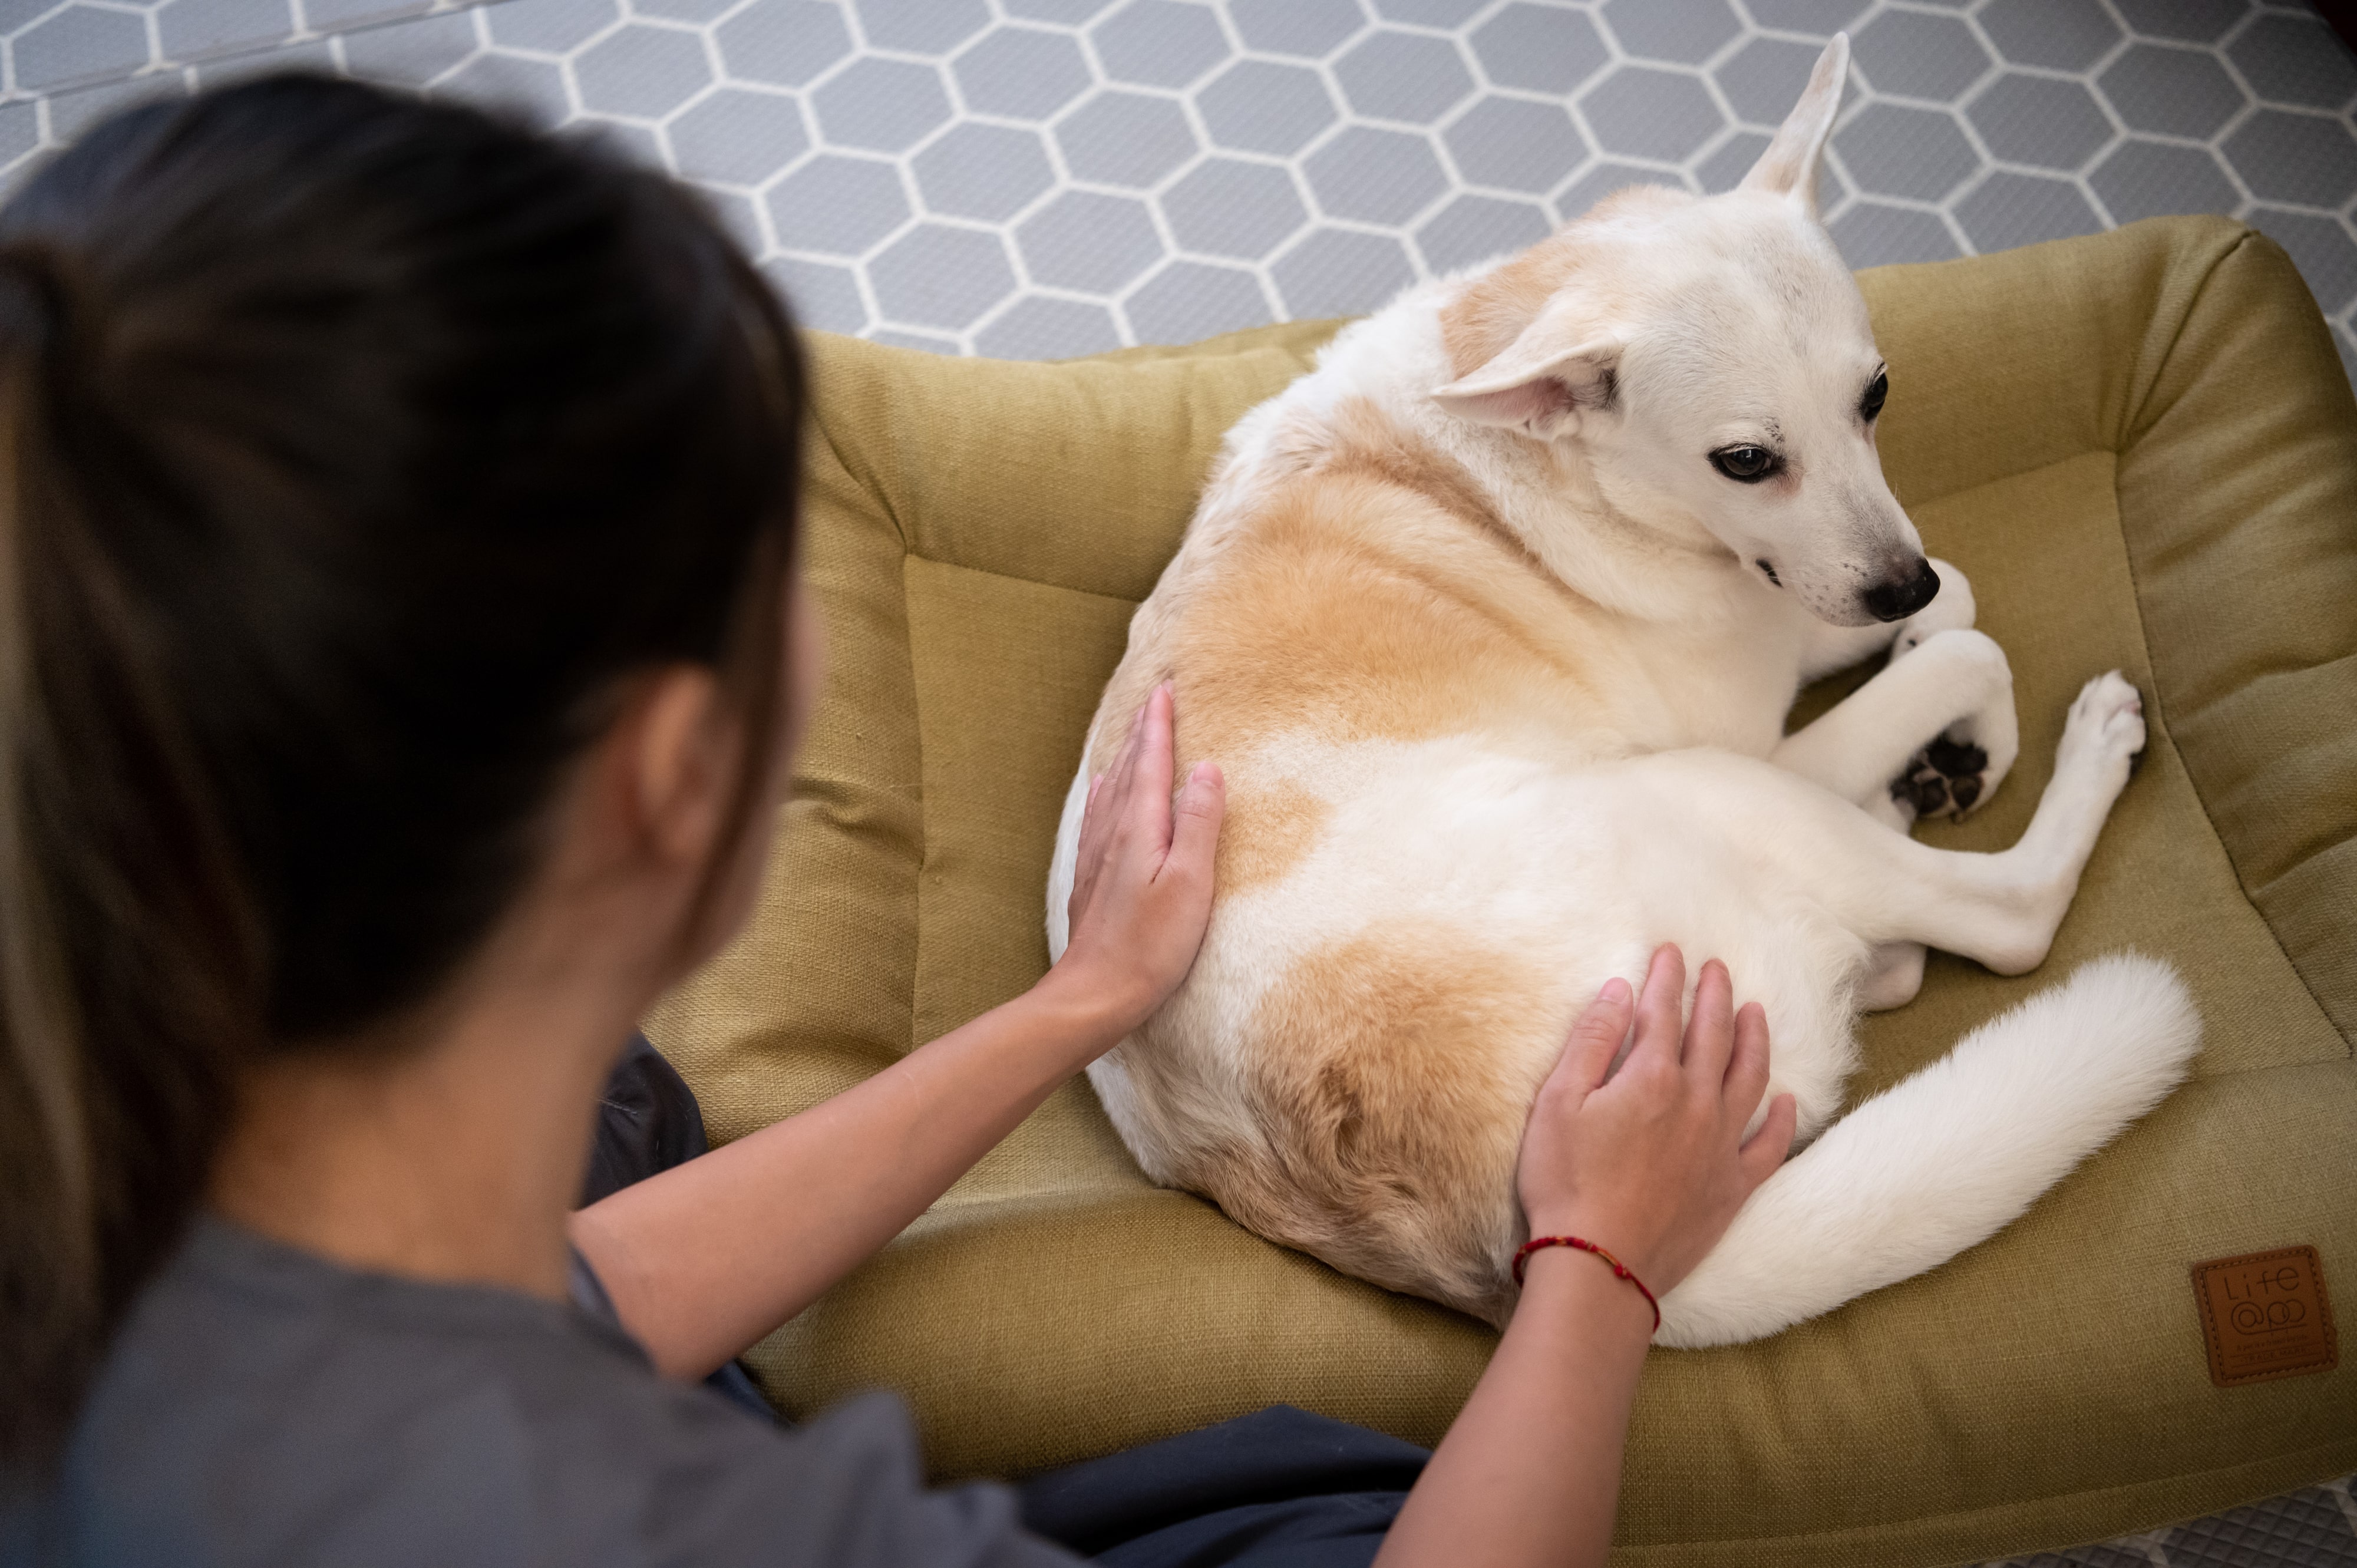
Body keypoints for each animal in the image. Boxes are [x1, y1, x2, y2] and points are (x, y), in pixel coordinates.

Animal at [1042, 42, 2197, 1348]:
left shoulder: (1792, 608)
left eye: (1878, 396)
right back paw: (2069, 754)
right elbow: (1970, 645)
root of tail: (1515, 1248)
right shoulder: (1763, 735)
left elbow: (1950, 596)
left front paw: (1947, 728)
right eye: (1744, 460)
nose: (1885, 582)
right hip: (1720, 795)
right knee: (2005, 918)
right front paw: (1958, 716)